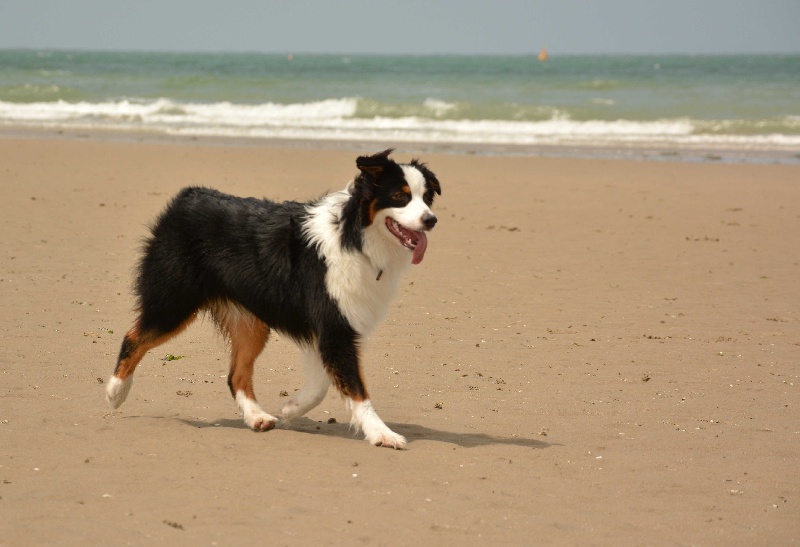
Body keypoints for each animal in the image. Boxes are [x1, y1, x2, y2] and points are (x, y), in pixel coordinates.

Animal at [104, 150, 444, 450]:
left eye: (426, 198)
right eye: (400, 196)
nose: (431, 220)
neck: (355, 236)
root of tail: (187, 195)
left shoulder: (330, 327)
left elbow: (322, 385)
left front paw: (291, 408)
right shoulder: (334, 325)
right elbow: (358, 390)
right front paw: (382, 434)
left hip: (250, 323)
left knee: (236, 375)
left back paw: (257, 417)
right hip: (174, 301)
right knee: (133, 336)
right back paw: (116, 391)